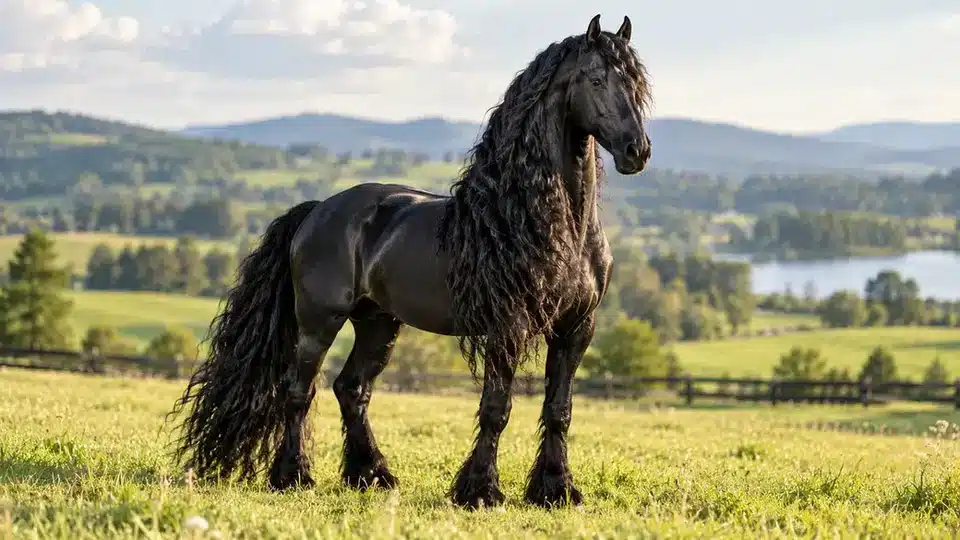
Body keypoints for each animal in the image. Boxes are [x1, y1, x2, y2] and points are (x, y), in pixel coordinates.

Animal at [167, 13, 653, 510]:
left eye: (637, 84)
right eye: (596, 79)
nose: (637, 151)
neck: (545, 224)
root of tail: (319, 209)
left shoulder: (576, 328)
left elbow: (559, 410)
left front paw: (556, 490)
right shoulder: (508, 326)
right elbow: (496, 409)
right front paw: (480, 491)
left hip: (378, 322)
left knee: (351, 389)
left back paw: (371, 475)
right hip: (319, 321)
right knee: (298, 391)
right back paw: (293, 477)